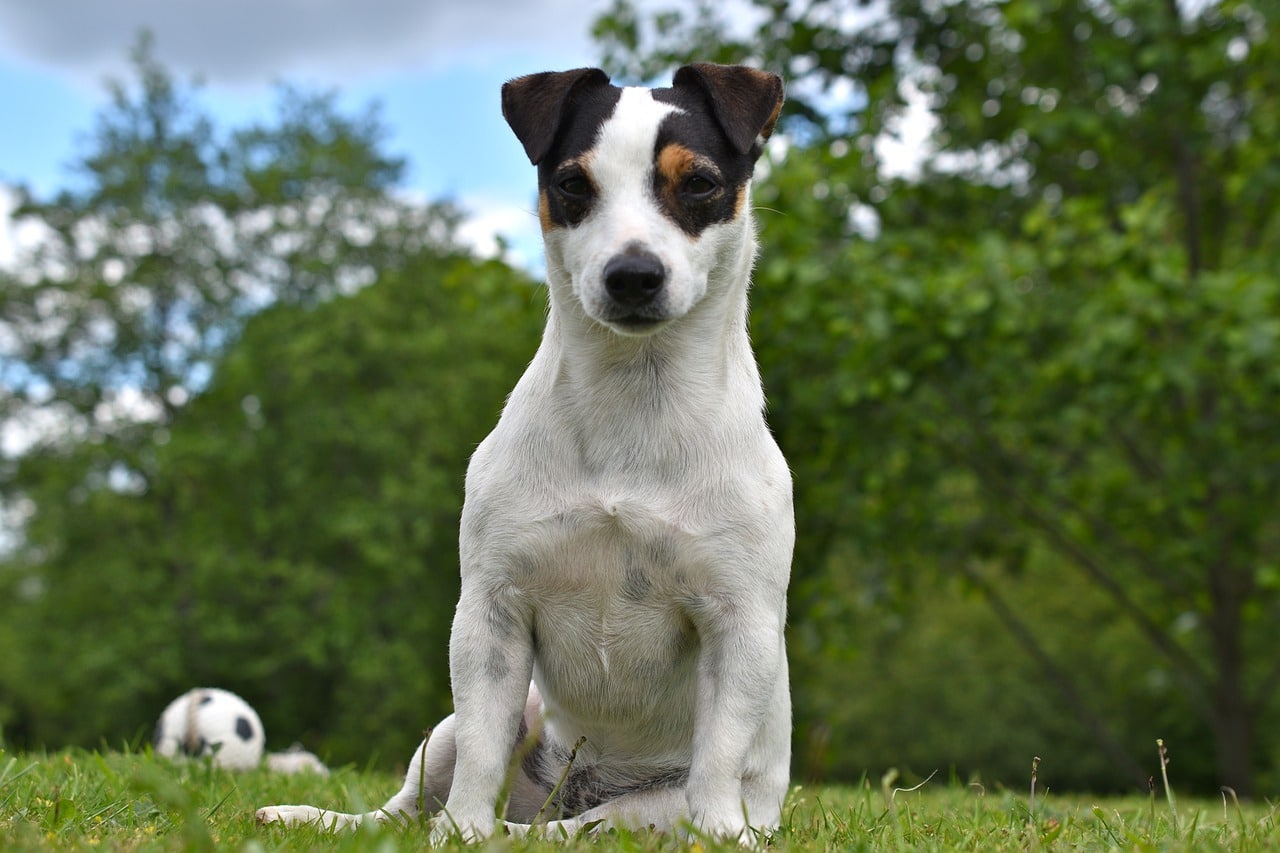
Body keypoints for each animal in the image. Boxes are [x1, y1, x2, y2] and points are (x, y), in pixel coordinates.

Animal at [257, 63, 788, 840]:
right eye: (572, 183)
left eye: (698, 183)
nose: (633, 274)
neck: (633, 404)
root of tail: (569, 789)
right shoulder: (491, 614)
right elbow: (482, 747)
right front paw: (459, 834)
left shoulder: (738, 621)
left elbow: (718, 754)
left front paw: (723, 834)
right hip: (465, 727)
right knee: (402, 811)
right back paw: (326, 817)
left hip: (640, 811)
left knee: (576, 829)